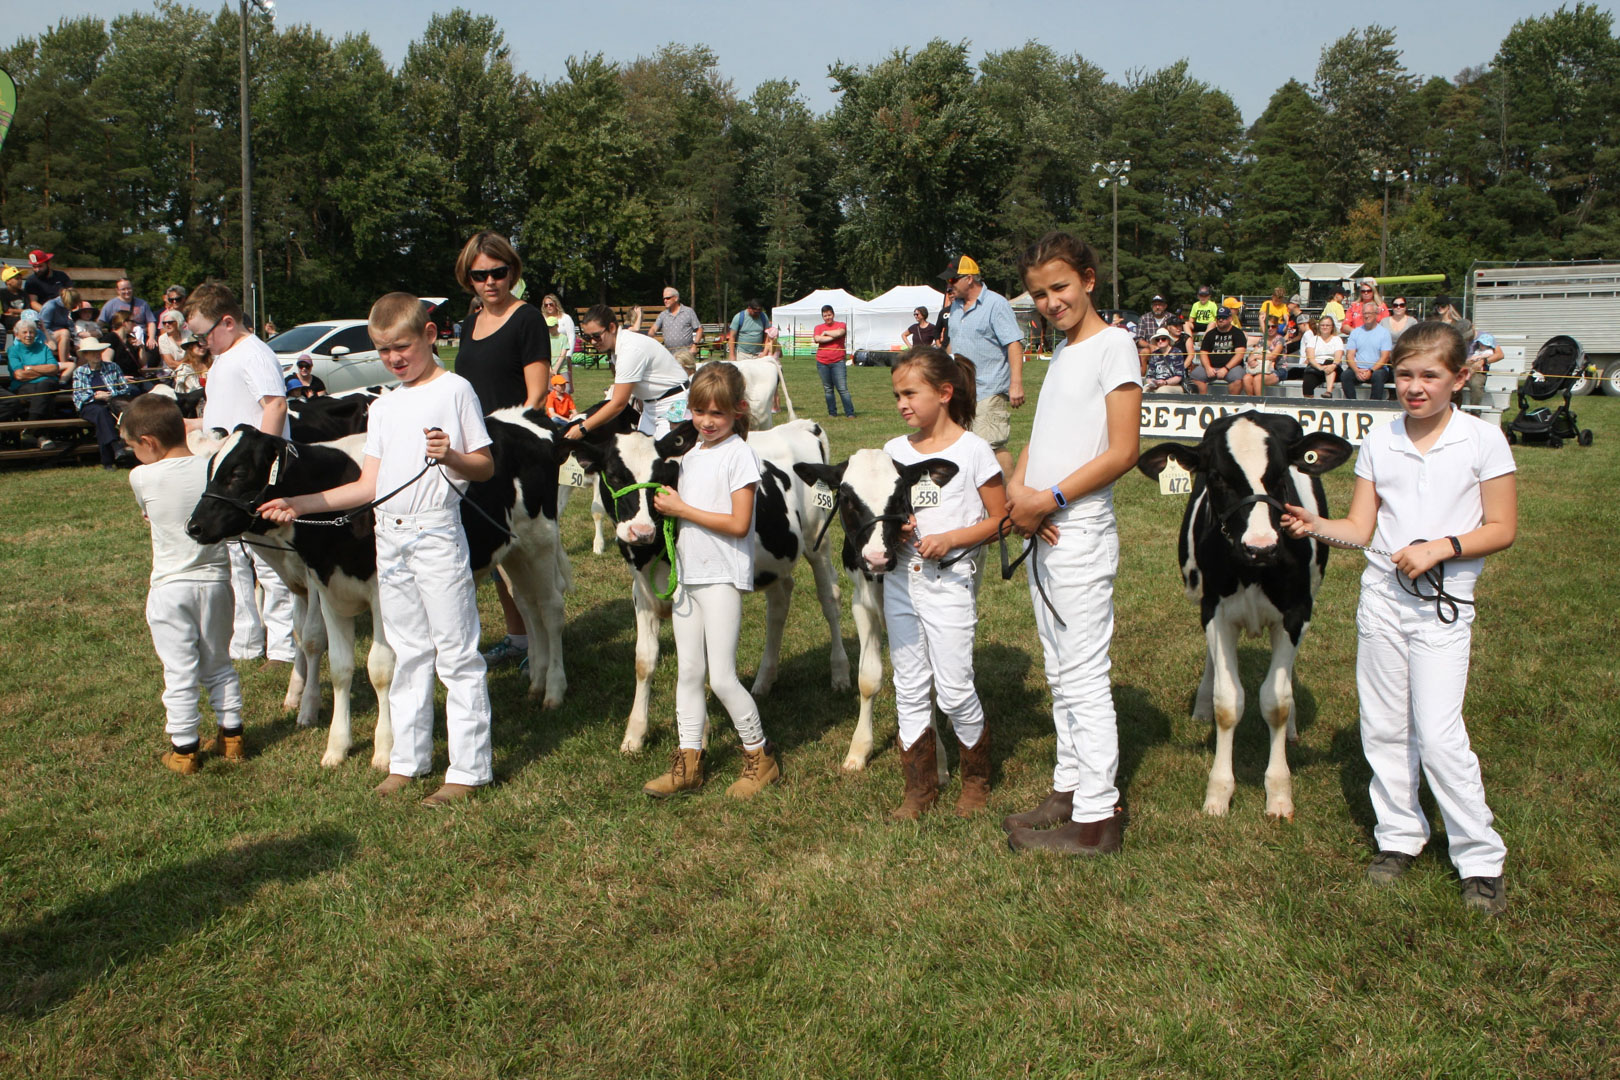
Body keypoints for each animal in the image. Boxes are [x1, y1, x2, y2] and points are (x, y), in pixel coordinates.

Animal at [187, 408, 576, 767]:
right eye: (209, 469)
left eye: (238, 473)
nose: (194, 526)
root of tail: (525, 417)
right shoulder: (328, 591)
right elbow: (340, 667)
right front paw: (337, 747)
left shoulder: (380, 597)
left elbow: (381, 669)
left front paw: (386, 750)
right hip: (512, 551)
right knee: (527, 606)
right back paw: (536, 681)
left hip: (540, 540)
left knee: (550, 609)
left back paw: (555, 689)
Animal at [567, 417, 855, 757]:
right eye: (612, 475)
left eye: (660, 476)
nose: (641, 531)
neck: (653, 554)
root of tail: (800, 425)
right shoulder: (642, 594)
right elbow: (644, 660)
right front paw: (635, 734)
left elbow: (698, 663)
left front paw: (699, 735)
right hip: (775, 556)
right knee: (779, 604)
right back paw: (764, 680)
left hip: (816, 539)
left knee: (829, 600)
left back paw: (840, 674)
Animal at [797, 446, 959, 777]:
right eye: (846, 497)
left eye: (899, 496)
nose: (877, 558)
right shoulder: (862, 605)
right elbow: (868, 679)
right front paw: (859, 749)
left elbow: (929, 685)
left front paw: (937, 761)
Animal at [1140, 414, 1354, 819]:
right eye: (1217, 476)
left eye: (1282, 473)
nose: (1261, 547)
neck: (1253, 569)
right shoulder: (1215, 611)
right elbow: (1228, 702)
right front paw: (1219, 792)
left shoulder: (1296, 613)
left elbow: (1276, 700)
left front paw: (1279, 792)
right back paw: (1202, 706)